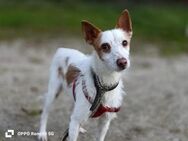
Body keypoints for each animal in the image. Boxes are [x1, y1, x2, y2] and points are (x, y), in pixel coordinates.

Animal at [38, 9, 132, 140]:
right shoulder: (77, 119)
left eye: (124, 42)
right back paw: (42, 133)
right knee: (45, 113)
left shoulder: (105, 122)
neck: (103, 85)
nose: (123, 62)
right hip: (53, 92)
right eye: (105, 46)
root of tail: (63, 49)